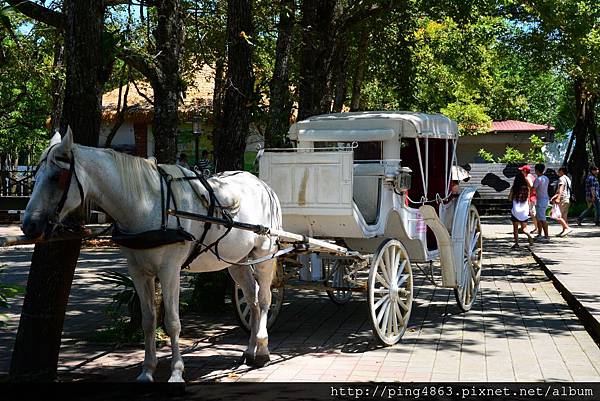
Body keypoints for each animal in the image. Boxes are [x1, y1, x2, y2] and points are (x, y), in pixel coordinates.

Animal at [22, 130, 282, 382]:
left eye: (57, 177)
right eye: (35, 176)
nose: (29, 226)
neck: (147, 205)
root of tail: (262, 185)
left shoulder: (169, 272)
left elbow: (173, 322)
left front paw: (176, 372)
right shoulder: (138, 272)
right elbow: (148, 321)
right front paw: (147, 370)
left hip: (265, 256)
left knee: (265, 299)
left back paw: (263, 349)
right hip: (238, 261)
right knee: (252, 300)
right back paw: (250, 350)